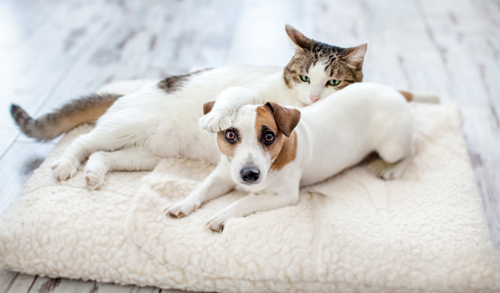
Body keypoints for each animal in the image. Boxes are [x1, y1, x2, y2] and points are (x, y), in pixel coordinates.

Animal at [166, 82, 416, 230]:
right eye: (230, 134)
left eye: (269, 136)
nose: (249, 174)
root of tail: (393, 90)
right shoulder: (222, 176)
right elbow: (202, 188)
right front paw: (183, 203)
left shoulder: (284, 196)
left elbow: (247, 200)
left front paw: (223, 214)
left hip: (391, 148)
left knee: (413, 147)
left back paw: (394, 169)